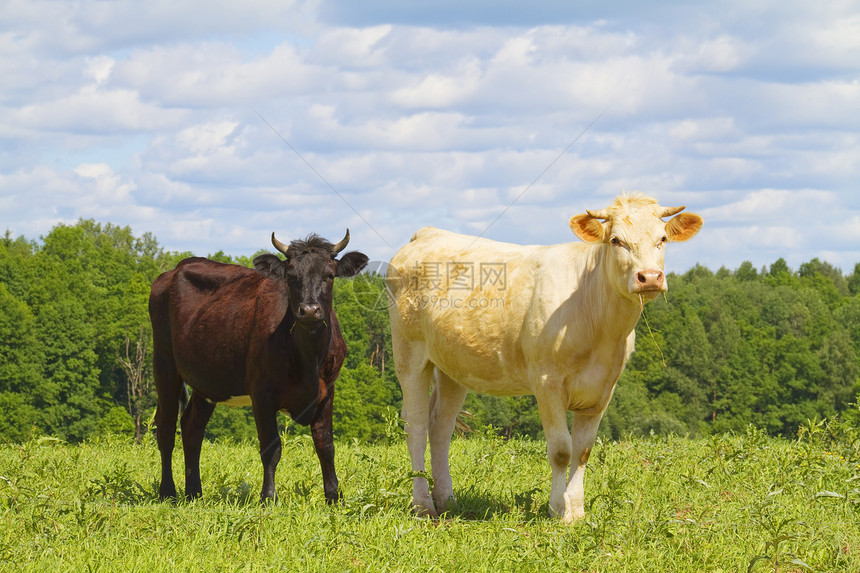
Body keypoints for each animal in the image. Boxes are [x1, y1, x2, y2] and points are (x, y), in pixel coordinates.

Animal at [149, 228, 368, 500]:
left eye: (330, 275)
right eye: (290, 276)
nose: (309, 310)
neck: (308, 357)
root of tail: (176, 268)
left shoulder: (327, 391)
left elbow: (326, 446)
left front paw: (333, 497)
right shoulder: (262, 393)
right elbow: (271, 447)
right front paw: (268, 497)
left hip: (208, 380)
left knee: (191, 428)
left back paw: (194, 493)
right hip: (164, 363)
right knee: (166, 427)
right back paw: (168, 492)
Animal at [386, 192, 704, 520]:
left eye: (662, 238)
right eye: (616, 240)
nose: (650, 277)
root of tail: (428, 233)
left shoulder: (603, 389)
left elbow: (583, 450)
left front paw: (576, 510)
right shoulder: (547, 382)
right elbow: (562, 450)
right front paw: (557, 509)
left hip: (454, 367)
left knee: (440, 426)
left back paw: (447, 500)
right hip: (409, 354)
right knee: (416, 425)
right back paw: (423, 504)